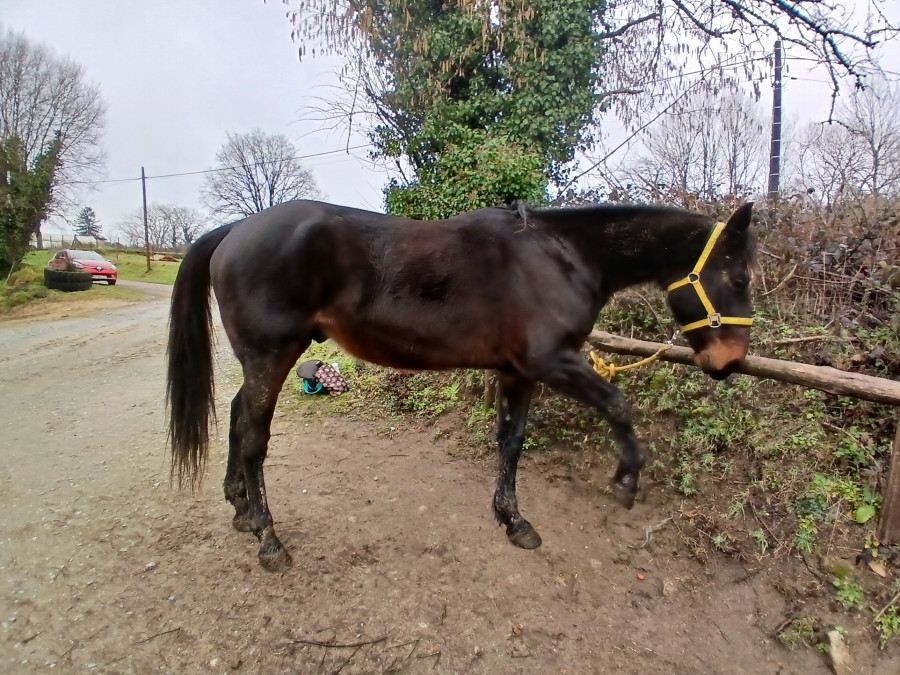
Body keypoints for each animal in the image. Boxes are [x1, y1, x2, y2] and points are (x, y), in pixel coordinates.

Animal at [167, 199, 755, 571]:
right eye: (740, 276)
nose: (730, 362)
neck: (559, 257)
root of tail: (235, 230)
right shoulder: (551, 362)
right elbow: (617, 403)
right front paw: (626, 479)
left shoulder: (518, 371)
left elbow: (511, 443)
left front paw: (513, 520)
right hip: (271, 356)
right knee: (252, 439)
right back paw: (269, 540)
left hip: (263, 361)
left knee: (239, 417)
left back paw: (241, 511)